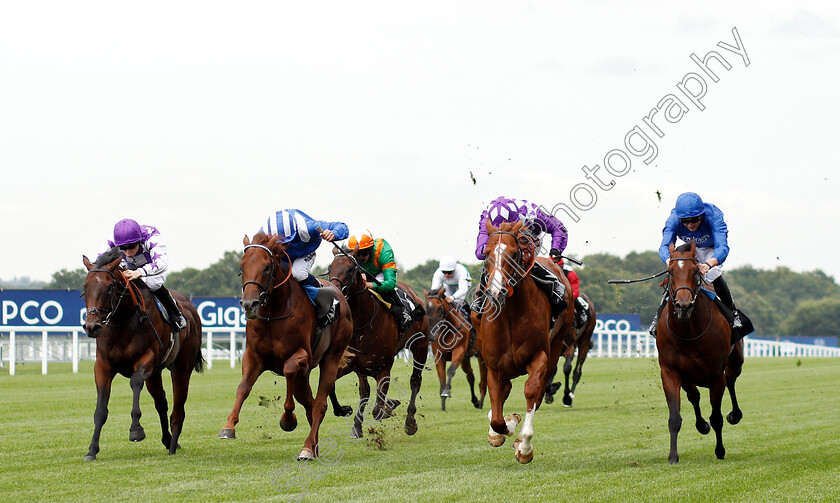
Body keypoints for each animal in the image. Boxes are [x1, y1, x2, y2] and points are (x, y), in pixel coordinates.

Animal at [81, 250, 205, 462]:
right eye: (85, 286)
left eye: (109, 287)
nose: (91, 326)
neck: (123, 321)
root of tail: (192, 310)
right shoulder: (103, 366)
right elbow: (100, 410)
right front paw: (92, 450)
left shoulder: (146, 359)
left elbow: (135, 382)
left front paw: (136, 430)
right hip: (155, 375)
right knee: (161, 402)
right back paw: (168, 440)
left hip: (181, 368)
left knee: (177, 409)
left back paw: (173, 445)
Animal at [218, 234, 352, 462]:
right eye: (241, 267)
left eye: (266, 267)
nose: (249, 304)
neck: (274, 311)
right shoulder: (253, 356)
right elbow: (243, 387)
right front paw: (228, 426)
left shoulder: (303, 356)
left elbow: (289, 369)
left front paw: (288, 419)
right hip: (304, 376)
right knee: (309, 403)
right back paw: (313, 447)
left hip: (331, 358)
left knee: (319, 404)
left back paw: (307, 448)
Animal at [328, 248, 430, 440]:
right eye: (330, 268)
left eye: (351, 269)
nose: (334, 291)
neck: (365, 321)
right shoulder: (354, 363)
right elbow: (357, 391)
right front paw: (349, 417)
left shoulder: (384, 366)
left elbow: (377, 409)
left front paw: (388, 408)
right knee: (368, 391)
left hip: (420, 346)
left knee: (415, 381)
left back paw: (410, 422)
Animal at [476, 220, 576, 464]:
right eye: (486, 253)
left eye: (513, 253)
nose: (496, 291)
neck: (510, 316)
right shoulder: (494, 366)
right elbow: (497, 417)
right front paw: (504, 428)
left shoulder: (539, 356)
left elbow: (532, 392)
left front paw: (524, 445)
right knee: (505, 391)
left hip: (556, 346)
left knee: (537, 393)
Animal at [656, 242, 740, 466]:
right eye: (670, 271)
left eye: (695, 271)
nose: (683, 306)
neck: (689, 332)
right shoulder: (670, 372)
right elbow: (674, 417)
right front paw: (673, 456)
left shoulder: (715, 375)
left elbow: (717, 417)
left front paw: (720, 450)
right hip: (688, 376)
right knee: (694, 395)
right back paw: (701, 425)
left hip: (735, 361)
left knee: (731, 381)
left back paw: (735, 415)